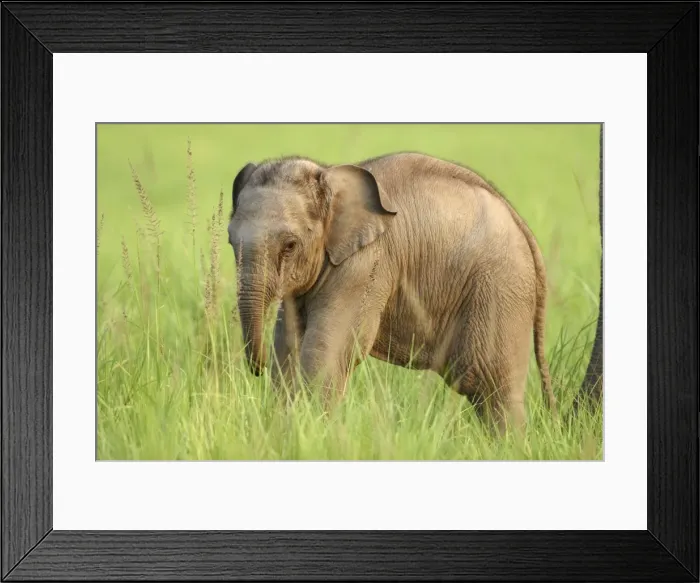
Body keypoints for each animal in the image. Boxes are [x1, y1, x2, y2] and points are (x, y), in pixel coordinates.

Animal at [227, 151, 556, 433]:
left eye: (290, 245)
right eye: (230, 241)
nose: (257, 368)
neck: (330, 175)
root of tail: (521, 224)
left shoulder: (366, 263)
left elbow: (325, 350)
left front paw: (311, 432)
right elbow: (287, 346)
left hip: (501, 289)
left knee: (493, 386)